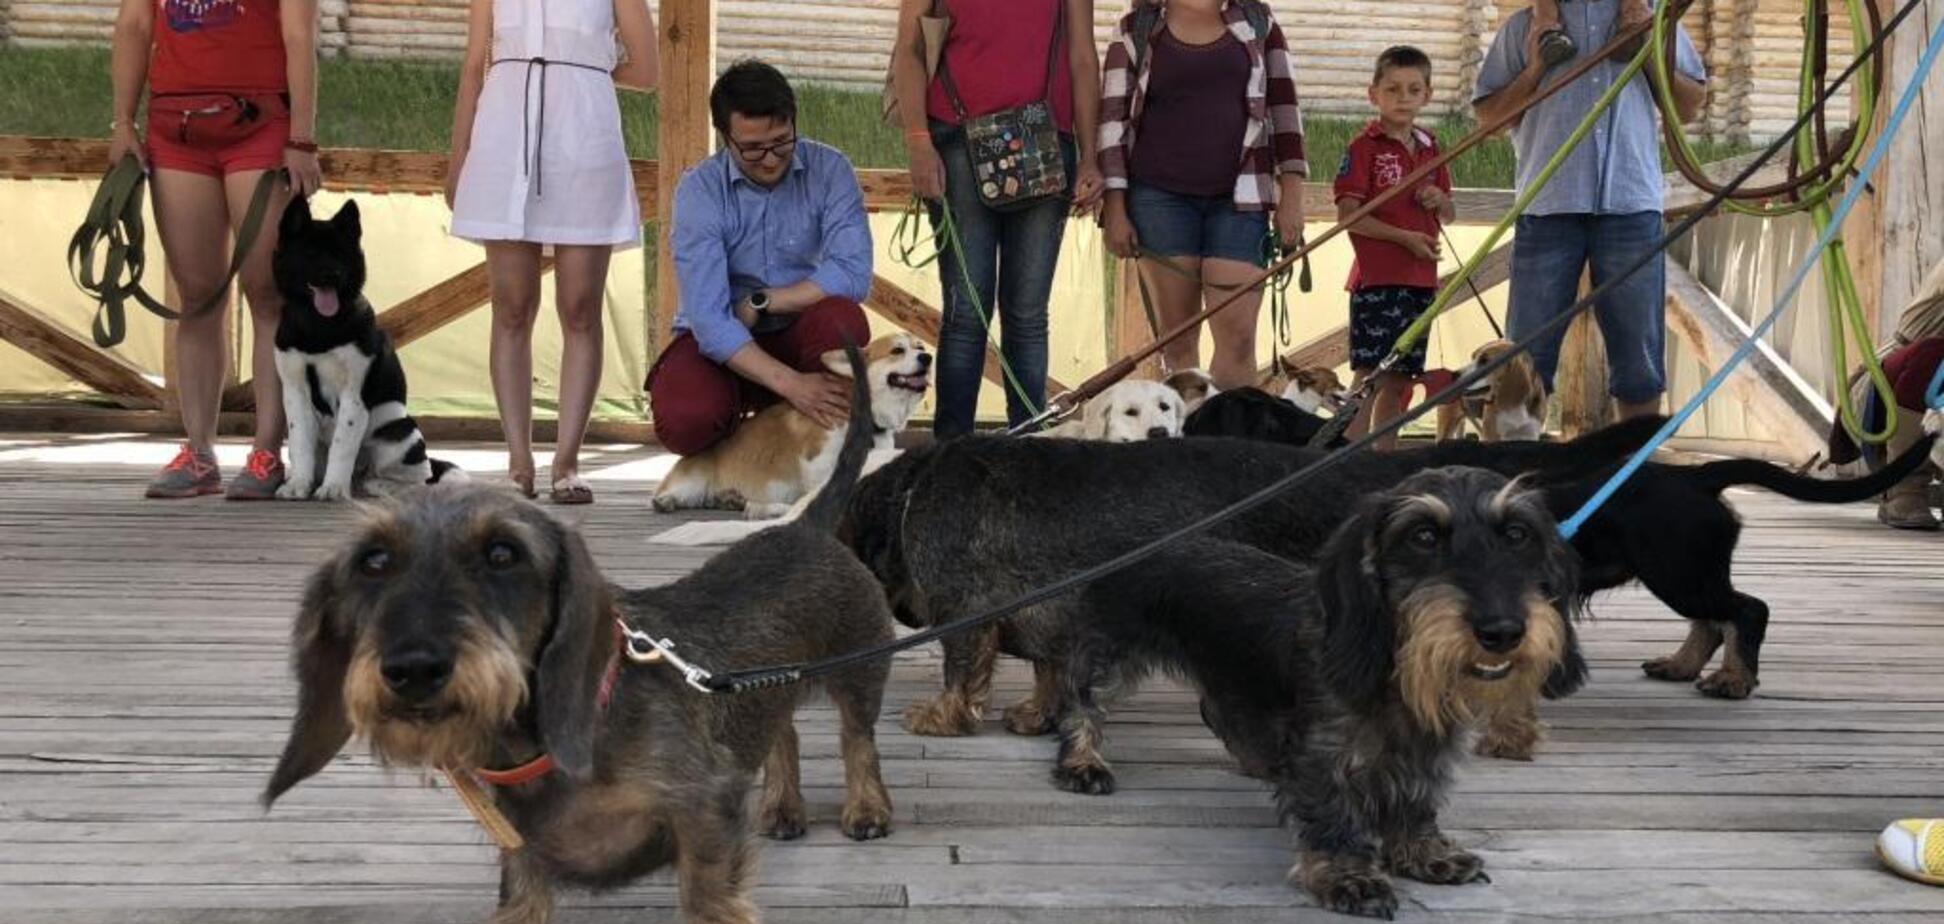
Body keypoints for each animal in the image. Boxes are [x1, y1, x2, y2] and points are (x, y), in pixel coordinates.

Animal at [272, 194, 456, 497]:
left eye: (341, 254)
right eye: (310, 253)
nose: (332, 274)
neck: (319, 326)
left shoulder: (354, 396)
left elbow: (342, 446)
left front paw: (333, 488)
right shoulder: (295, 393)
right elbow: (300, 444)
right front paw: (298, 484)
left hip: (402, 431)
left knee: (420, 477)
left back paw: (379, 485)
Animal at [649, 332, 929, 521]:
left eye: (920, 346)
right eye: (897, 350)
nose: (927, 357)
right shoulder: (817, 460)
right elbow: (821, 487)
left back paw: (730, 500)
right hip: (692, 481)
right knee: (669, 494)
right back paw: (668, 500)